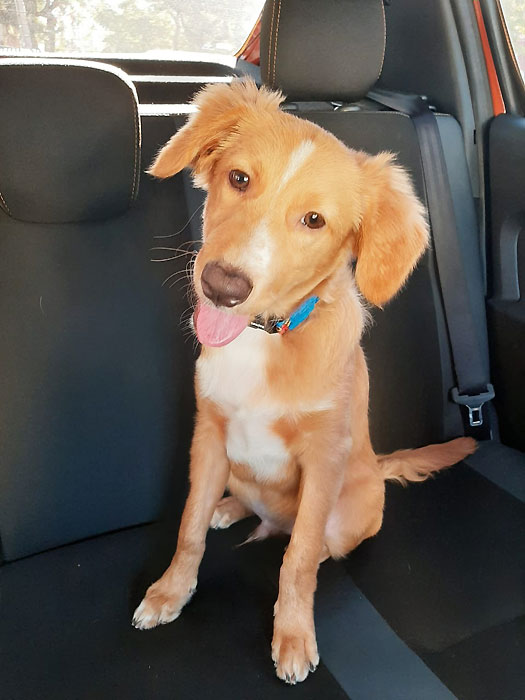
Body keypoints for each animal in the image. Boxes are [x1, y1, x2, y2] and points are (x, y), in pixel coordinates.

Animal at [132, 80, 476, 684]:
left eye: (314, 221)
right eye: (239, 179)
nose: (222, 286)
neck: (265, 336)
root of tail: (379, 467)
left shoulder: (322, 458)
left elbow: (296, 563)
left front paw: (292, 635)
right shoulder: (209, 436)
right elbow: (188, 526)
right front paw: (171, 591)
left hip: (349, 511)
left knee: (310, 545)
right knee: (248, 509)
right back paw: (229, 508)